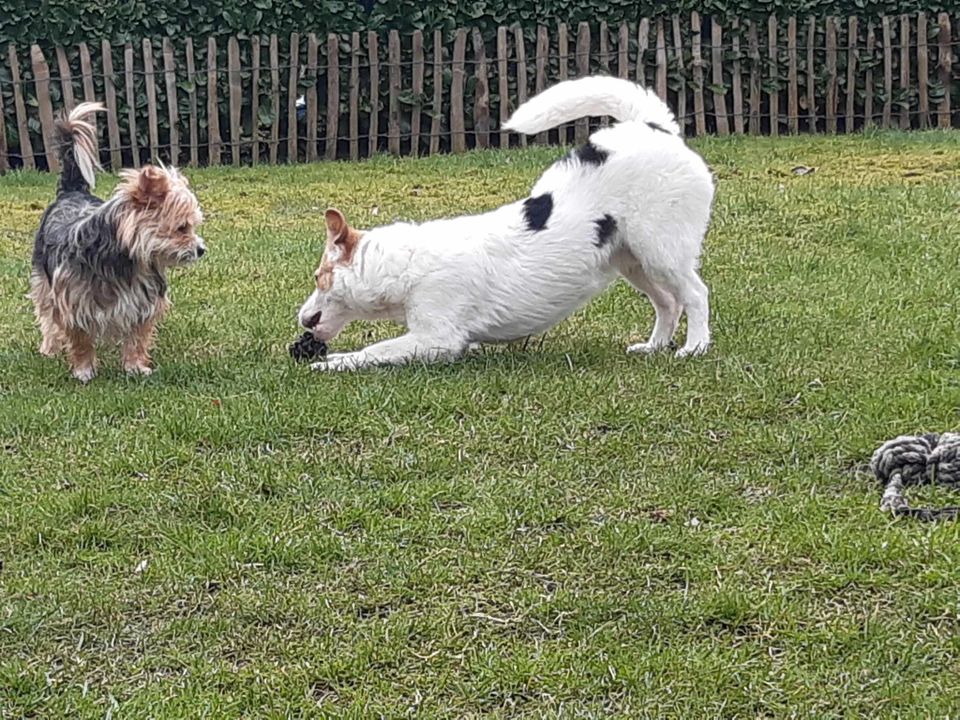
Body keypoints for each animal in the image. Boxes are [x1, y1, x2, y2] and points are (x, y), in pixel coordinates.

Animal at [298, 76, 712, 372]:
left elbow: (373, 350)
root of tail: (653, 127)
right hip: (632, 261)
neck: (406, 265)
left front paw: (332, 363)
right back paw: (654, 347)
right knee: (668, 303)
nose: (302, 319)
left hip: (661, 252)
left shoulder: (435, 340)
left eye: (319, 277)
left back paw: (695, 347)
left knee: (695, 294)